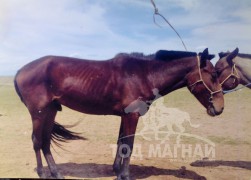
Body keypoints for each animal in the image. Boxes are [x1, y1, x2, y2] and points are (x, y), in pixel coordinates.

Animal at [14, 48, 224, 180]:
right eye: (214, 75)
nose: (219, 108)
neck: (144, 74)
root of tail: (20, 70)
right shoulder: (132, 116)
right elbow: (128, 144)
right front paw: (125, 175)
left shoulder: (125, 116)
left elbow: (121, 141)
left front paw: (116, 170)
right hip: (39, 112)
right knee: (37, 141)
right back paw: (42, 173)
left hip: (50, 111)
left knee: (46, 141)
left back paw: (56, 173)